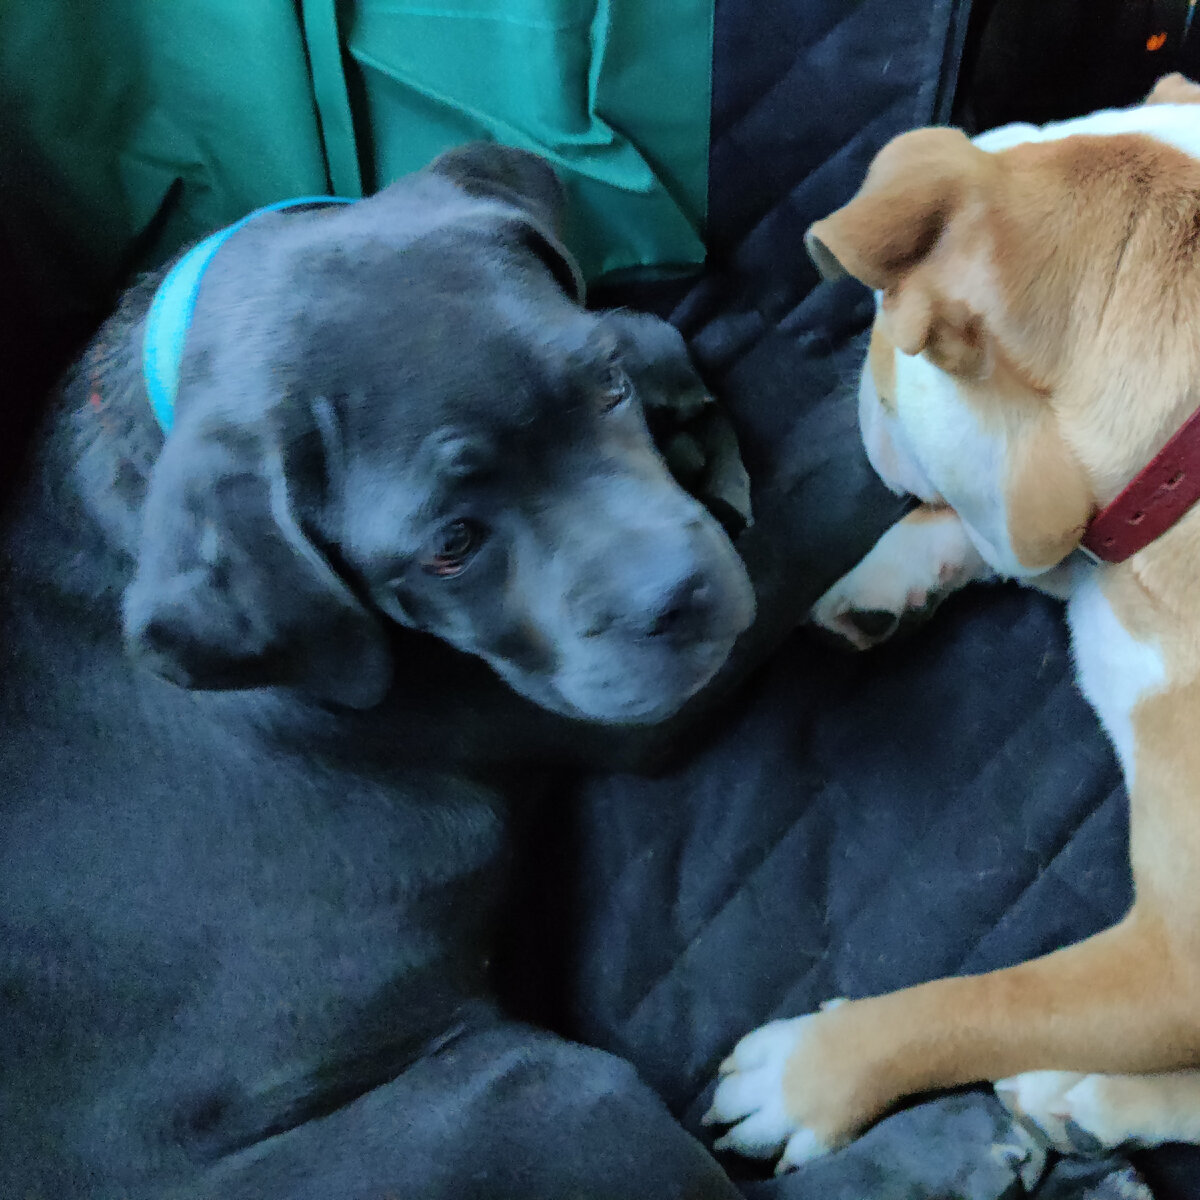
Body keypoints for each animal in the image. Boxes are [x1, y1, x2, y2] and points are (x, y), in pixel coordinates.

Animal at [705, 74, 1200, 1170]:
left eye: (890, 345)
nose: (861, 399)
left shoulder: (1174, 958)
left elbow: (984, 1004)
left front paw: (809, 1077)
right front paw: (886, 577)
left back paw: (1089, 1094)